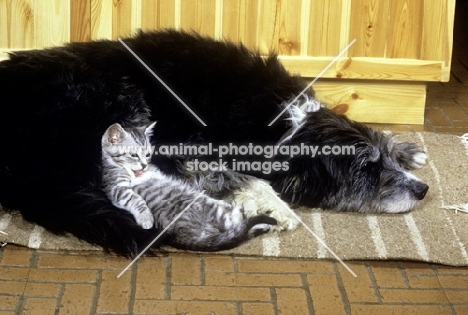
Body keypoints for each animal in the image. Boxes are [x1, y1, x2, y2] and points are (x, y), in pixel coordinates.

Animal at [100, 123, 276, 252]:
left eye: (148, 154)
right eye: (133, 155)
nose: (144, 165)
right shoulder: (117, 187)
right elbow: (134, 197)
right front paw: (145, 218)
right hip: (213, 211)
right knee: (238, 219)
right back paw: (267, 218)